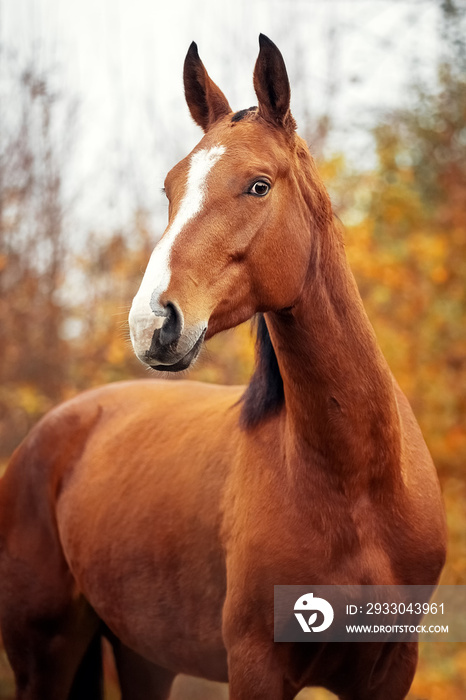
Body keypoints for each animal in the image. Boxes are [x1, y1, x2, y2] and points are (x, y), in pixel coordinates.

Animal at [0, 34, 448, 700]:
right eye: (169, 189)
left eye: (259, 186)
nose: (152, 322)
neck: (357, 484)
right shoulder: (257, 666)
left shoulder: (392, 668)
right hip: (44, 657)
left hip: (143, 657)